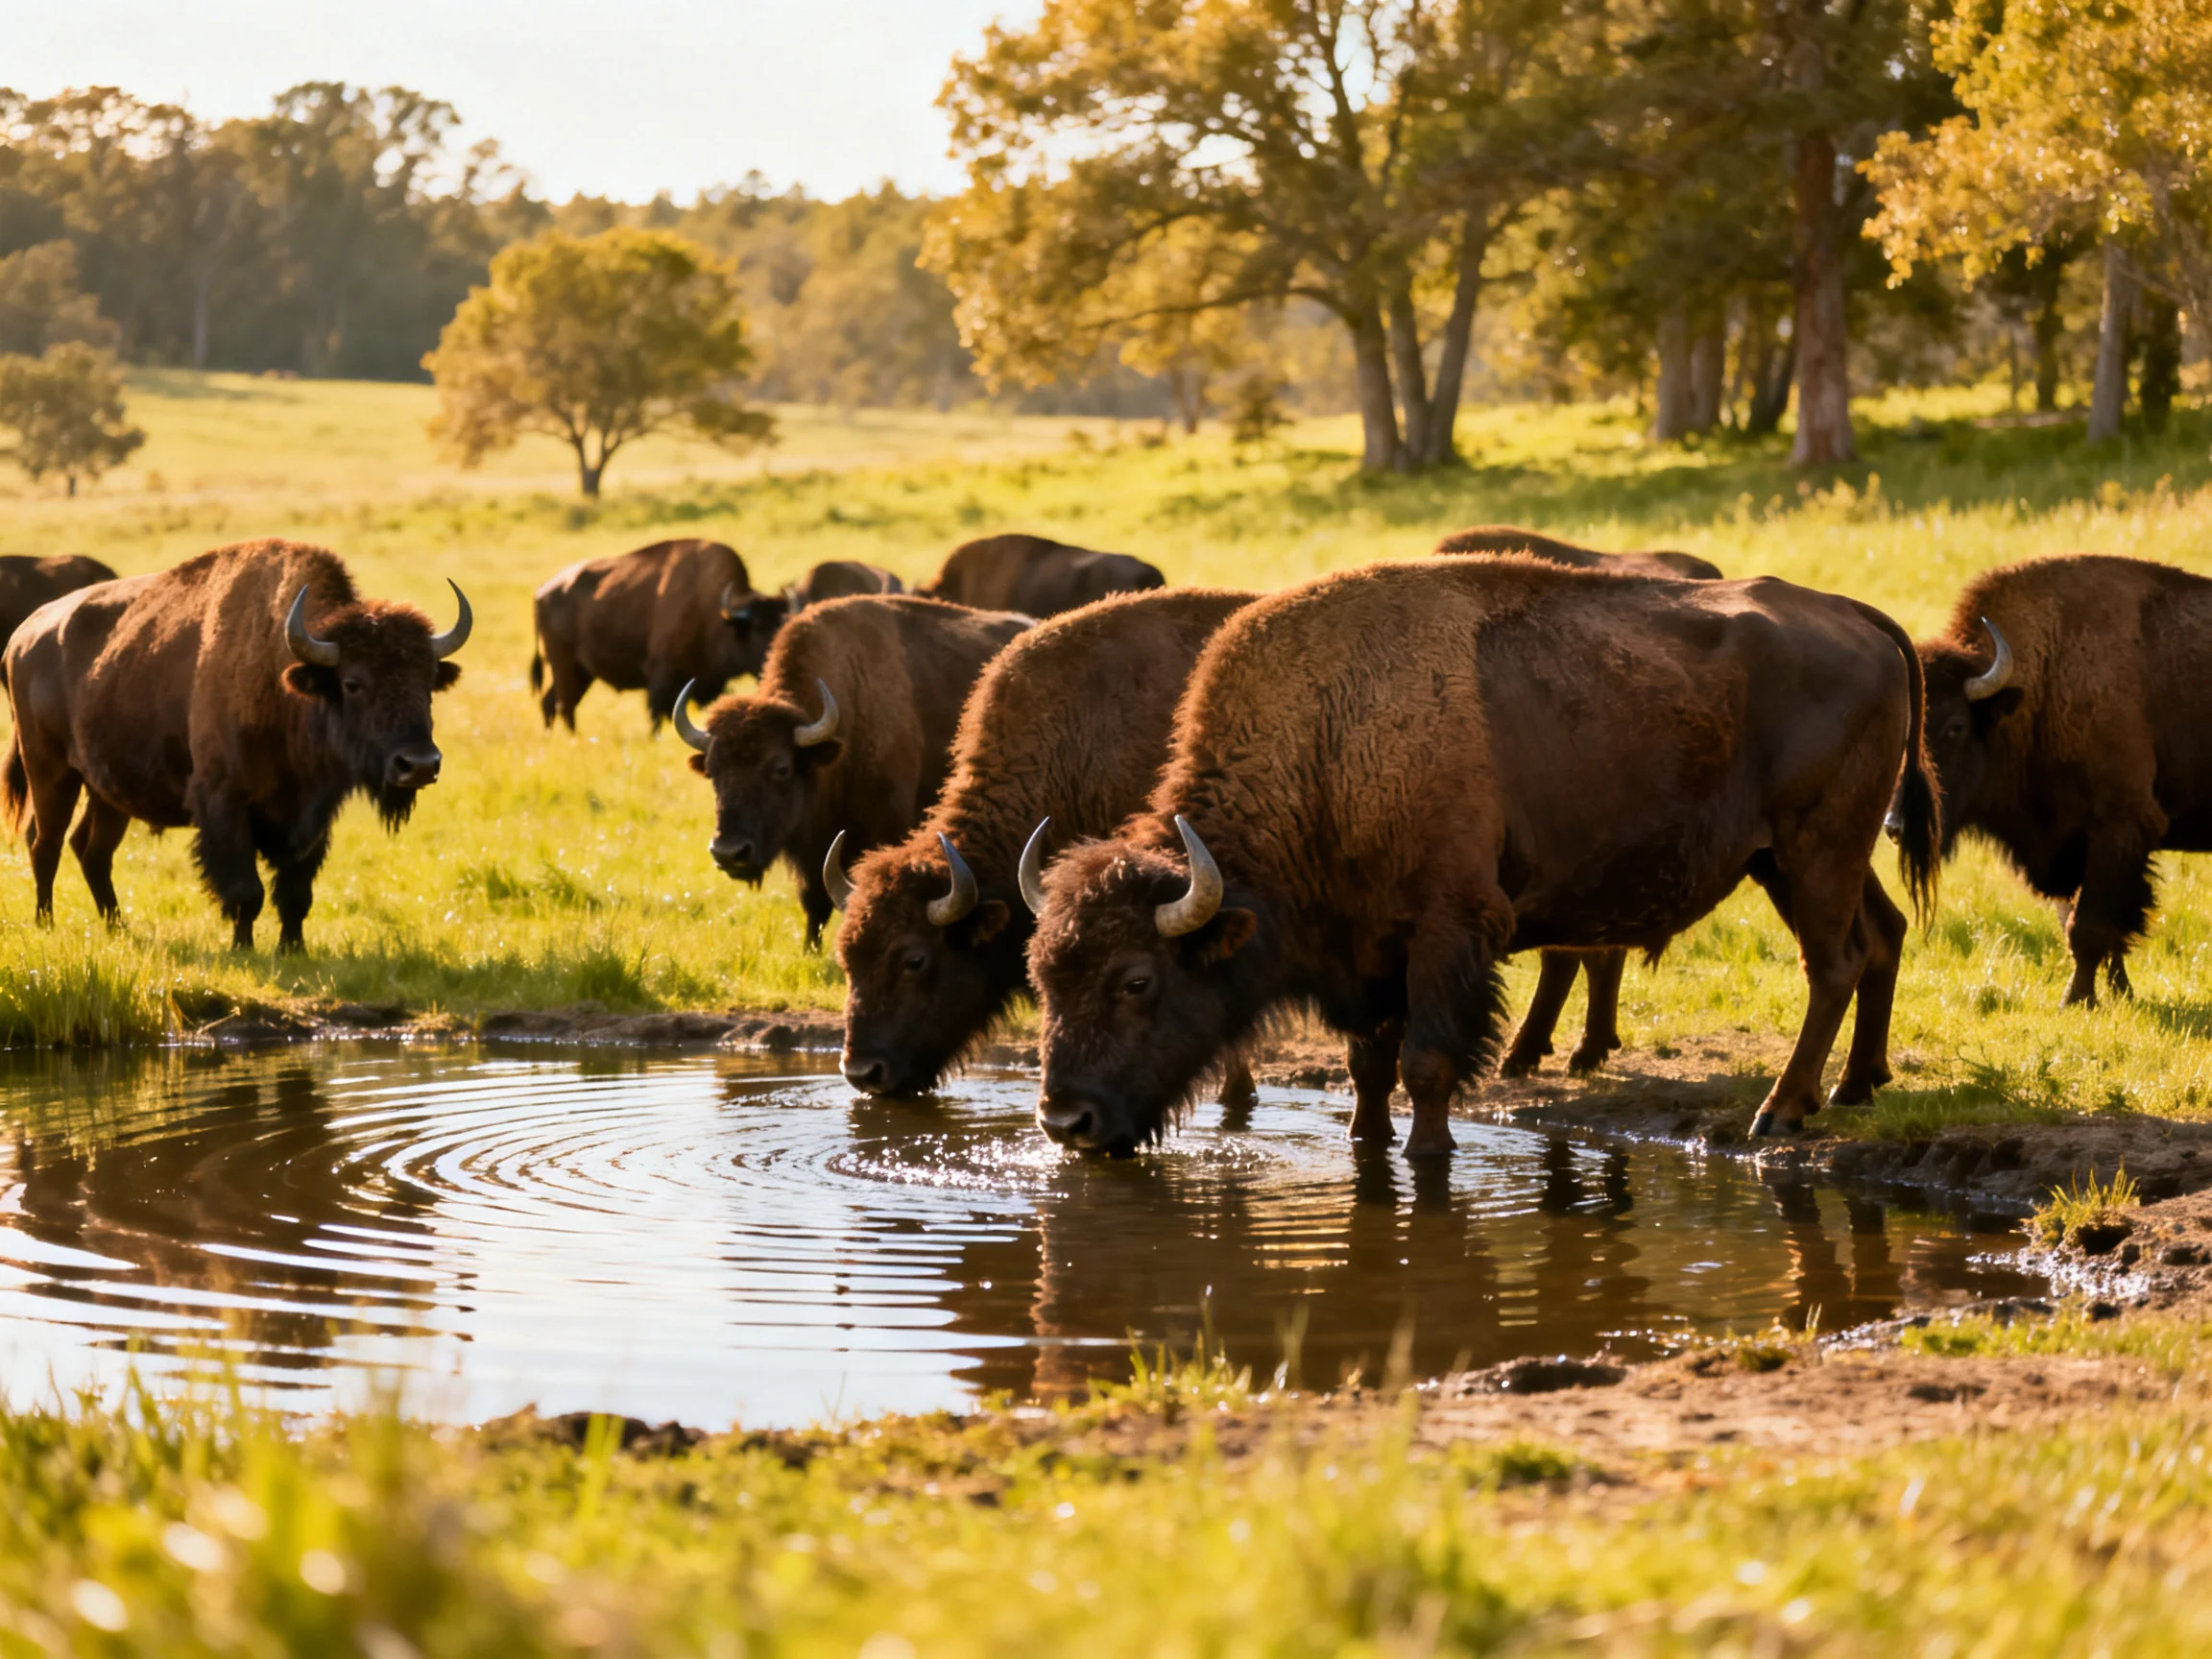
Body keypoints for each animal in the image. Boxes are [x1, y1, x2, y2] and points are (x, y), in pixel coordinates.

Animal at [530, 538, 765, 732]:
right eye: (757, 629)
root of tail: (542, 591)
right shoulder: (661, 674)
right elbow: (657, 716)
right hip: (564, 666)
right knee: (564, 705)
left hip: (581, 673)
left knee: (551, 703)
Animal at [674, 594, 1030, 948]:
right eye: (712, 771)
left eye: (781, 768)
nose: (729, 853)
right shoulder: (813, 850)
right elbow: (814, 900)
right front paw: (810, 949)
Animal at [1027, 557, 1936, 1158]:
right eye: (1042, 978)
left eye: (1137, 980)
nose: (1066, 1121)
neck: (1330, 742)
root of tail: (1859, 615)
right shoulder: (1369, 954)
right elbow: (1367, 1065)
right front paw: (1366, 1140)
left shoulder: (1448, 930)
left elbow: (1427, 1064)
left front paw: (1425, 1155)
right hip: (1800, 859)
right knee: (1882, 936)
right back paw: (1856, 1086)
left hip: (1815, 849)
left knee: (1833, 962)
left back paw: (1781, 1111)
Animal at [1908, 554, 2212, 1007]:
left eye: (1956, 726)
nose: (1897, 825)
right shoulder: (2074, 843)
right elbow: (2096, 923)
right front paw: (2119, 993)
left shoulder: (2119, 827)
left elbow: (2088, 927)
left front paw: (2076, 1000)